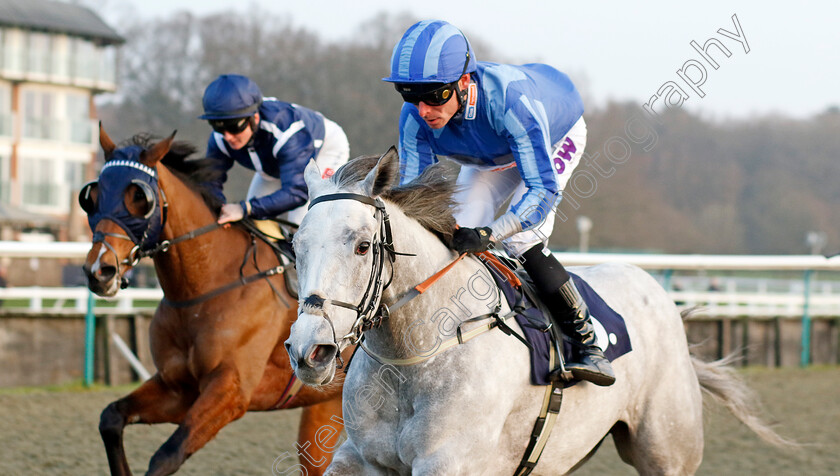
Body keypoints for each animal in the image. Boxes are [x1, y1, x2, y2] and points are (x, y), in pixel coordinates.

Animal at [83, 124, 346, 474]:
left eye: (139, 197)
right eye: (92, 196)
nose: (99, 270)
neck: (202, 291)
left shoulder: (230, 391)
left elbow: (167, 455)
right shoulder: (177, 388)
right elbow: (111, 418)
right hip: (326, 402)